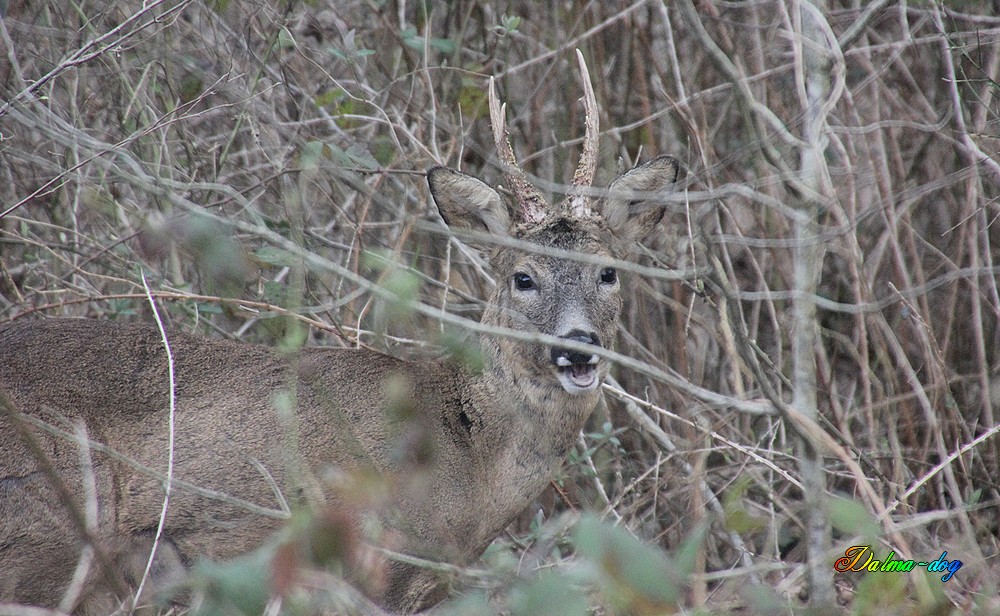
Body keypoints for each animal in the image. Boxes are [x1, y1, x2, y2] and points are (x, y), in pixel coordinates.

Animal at [0, 55, 680, 612]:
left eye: (609, 272)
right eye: (523, 277)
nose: (576, 347)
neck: (464, 453)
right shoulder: (366, 558)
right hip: (45, 528)